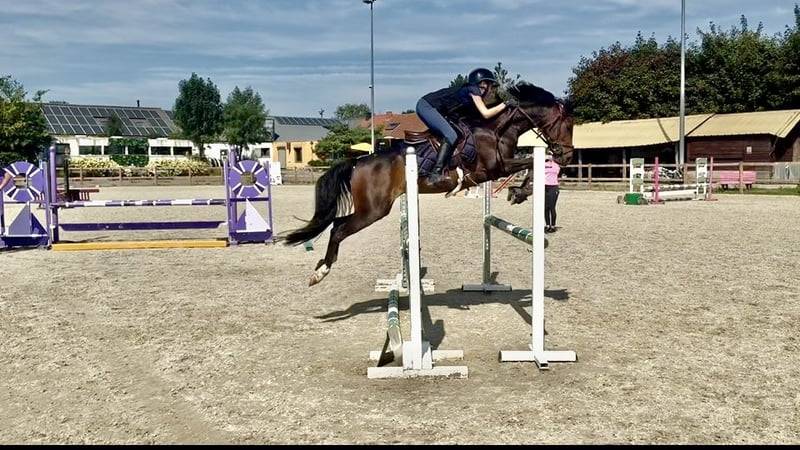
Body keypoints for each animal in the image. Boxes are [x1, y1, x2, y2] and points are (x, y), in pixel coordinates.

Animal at [284, 82, 575, 286]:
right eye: (568, 125)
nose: (568, 156)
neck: (496, 129)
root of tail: (357, 163)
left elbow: (533, 163)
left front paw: (519, 191)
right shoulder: (495, 169)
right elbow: (533, 162)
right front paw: (521, 191)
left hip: (373, 209)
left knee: (336, 225)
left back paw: (320, 267)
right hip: (373, 210)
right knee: (338, 229)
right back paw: (320, 272)